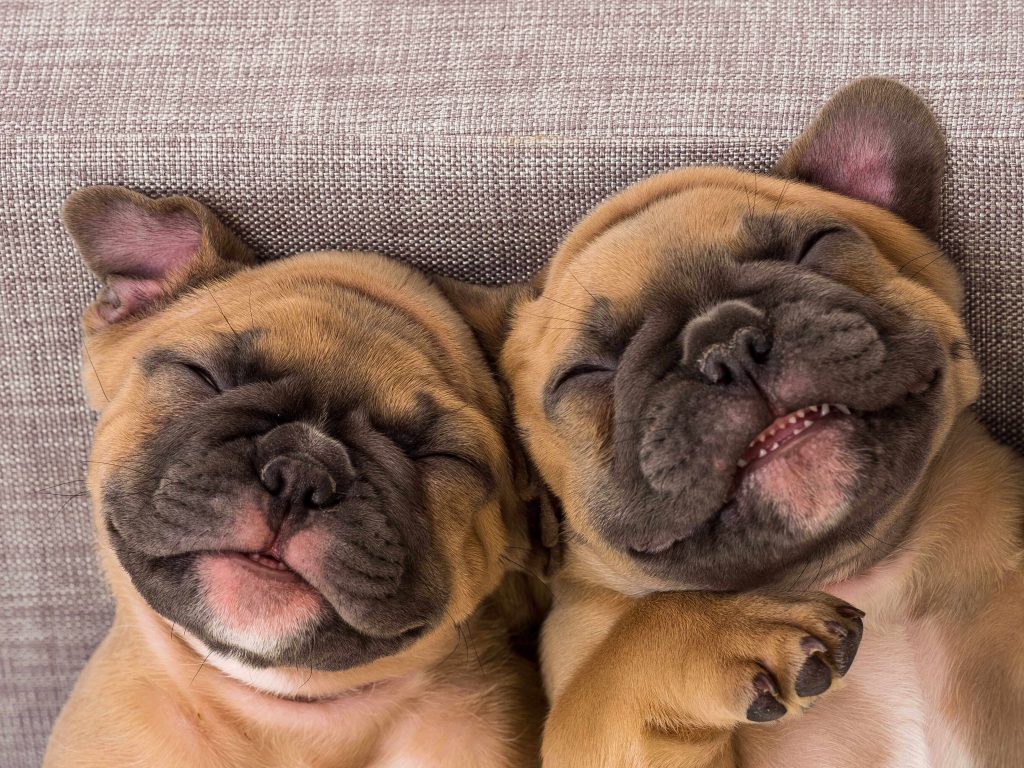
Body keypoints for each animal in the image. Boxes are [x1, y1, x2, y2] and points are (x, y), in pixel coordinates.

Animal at [440, 79, 1024, 768]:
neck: (870, 581)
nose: (726, 343)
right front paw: (734, 633)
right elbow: (618, 661)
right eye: (585, 372)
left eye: (815, 244)